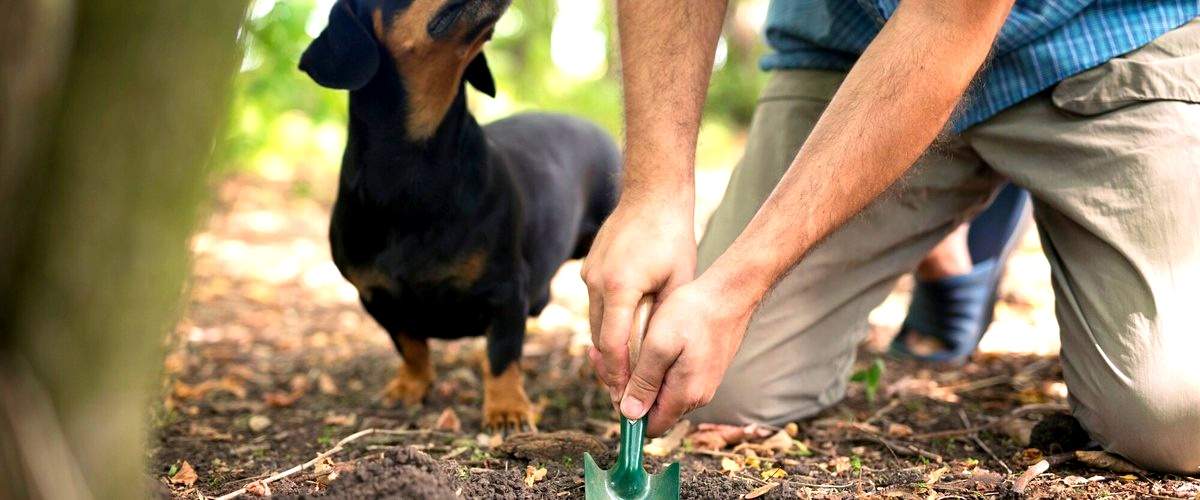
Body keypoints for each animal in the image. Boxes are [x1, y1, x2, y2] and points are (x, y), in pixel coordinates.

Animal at [300, 0, 619, 429]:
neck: (412, 171)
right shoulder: (375, 296)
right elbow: (410, 345)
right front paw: (411, 385)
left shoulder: (506, 291)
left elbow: (501, 355)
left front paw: (506, 408)